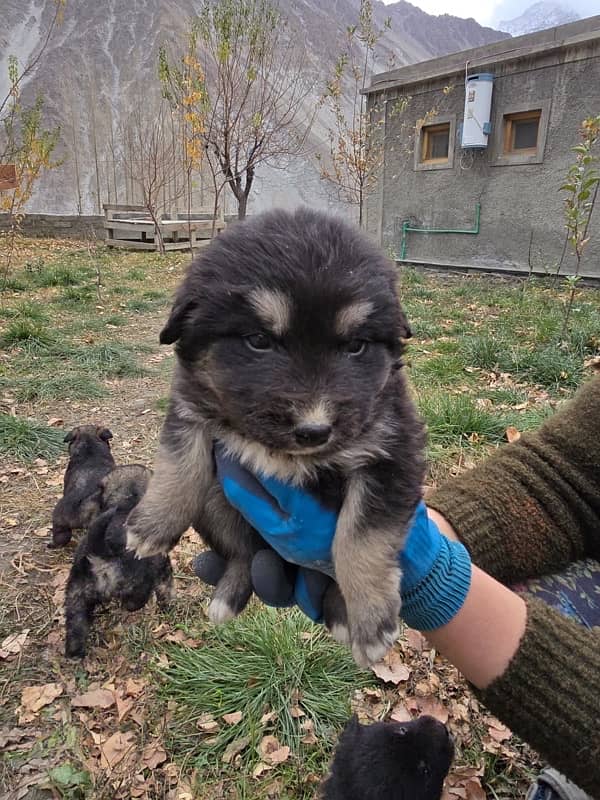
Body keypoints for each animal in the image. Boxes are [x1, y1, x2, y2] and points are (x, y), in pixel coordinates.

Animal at [64, 462, 175, 656]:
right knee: (134, 602)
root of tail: (101, 554)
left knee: (76, 628)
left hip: (75, 598)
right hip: (137, 586)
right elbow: (166, 589)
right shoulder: (163, 568)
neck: (127, 501)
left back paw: (76, 652)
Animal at [127, 208, 426, 668]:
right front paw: (152, 525)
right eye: (258, 341)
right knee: (241, 554)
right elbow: (180, 465)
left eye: (357, 346)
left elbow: (359, 539)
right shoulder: (190, 407)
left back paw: (341, 613)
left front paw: (370, 620)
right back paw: (228, 598)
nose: (314, 430)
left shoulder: (392, 451)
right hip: (217, 503)